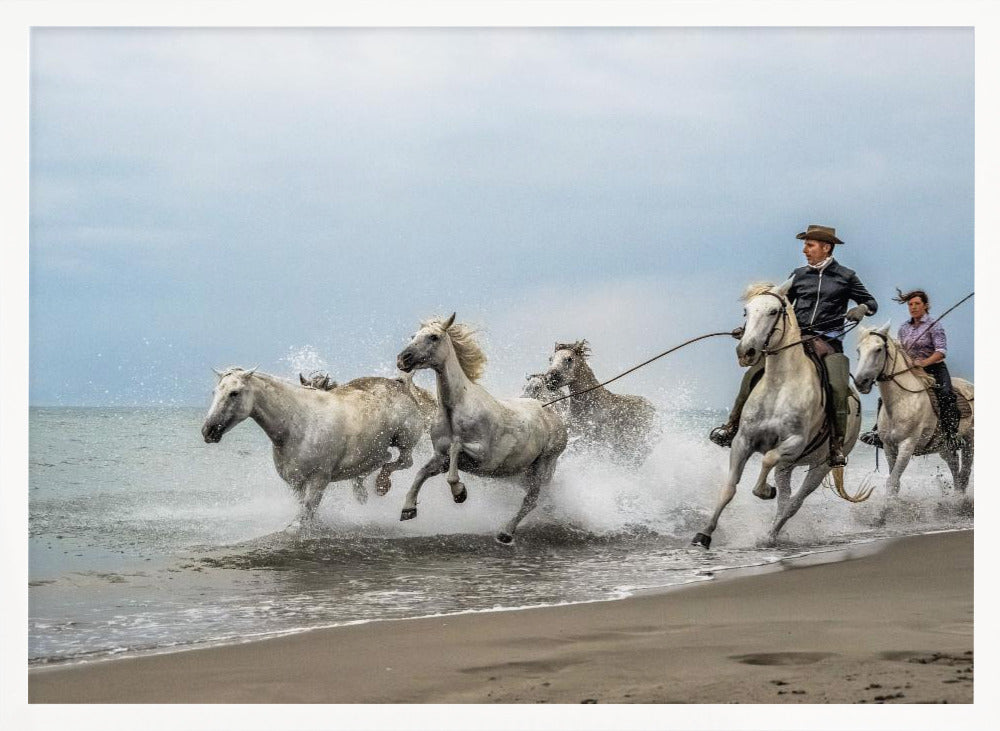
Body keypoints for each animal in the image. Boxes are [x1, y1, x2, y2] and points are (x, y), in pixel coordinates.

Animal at [201, 367, 426, 530]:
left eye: (234, 393)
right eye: (214, 392)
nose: (208, 431)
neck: (299, 424)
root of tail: (399, 385)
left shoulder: (319, 479)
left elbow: (306, 513)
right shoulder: (295, 482)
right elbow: (305, 509)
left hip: (405, 440)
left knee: (404, 461)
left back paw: (382, 486)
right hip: (374, 450)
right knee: (380, 461)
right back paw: (365, 491)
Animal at [396, 313, 568, 544]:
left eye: (434, 337)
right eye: (413, 336)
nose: (403, 359)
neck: (455, 411)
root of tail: (553, 414)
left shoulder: (484, 457)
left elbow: (456, 449)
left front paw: (459, 492)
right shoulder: (439, 457)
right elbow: (421, 473)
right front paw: (408, 509)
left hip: (543, 466)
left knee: (531, 500)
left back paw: (506, 533)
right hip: (523, 474)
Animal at [692, 280, 866, 549]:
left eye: (773, 311)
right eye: (746, 311)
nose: (746, 351)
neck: (780, 384)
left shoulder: (793, 443)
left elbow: (767, 459)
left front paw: (764, 491)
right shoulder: (743, 441)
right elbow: (729, 488)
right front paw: (704, 535)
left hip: (820, 466)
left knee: (794, 502)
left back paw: (770, 535)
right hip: (788, 466)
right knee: (785, 498)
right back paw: (772, 533)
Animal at [853, 323, 974, 499]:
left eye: (878, 349)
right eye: (859, 350)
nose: (860, 382)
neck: (903, 400)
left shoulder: (907, 445)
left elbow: (892, 482)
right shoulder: (889, 447)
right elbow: (894, 482)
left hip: (969, 441)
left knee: (965, 471)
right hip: (944, 447)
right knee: (955, 469)